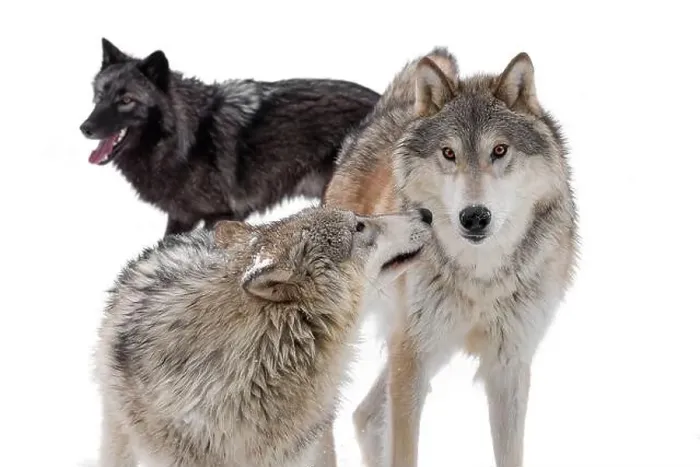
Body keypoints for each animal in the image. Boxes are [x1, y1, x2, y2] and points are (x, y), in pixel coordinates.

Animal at [80, 38, 380, 237]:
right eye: (100, 95)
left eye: (126, 100)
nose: (85, 128)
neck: (188, 138)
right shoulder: (181, 216)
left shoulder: (221, 215)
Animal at [323, 48, 579, 467]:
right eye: (448, 153)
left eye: (499, 150)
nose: (474, 216)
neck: (480, 274)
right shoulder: (413, 358)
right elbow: (404, 453)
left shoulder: (508, 364)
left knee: (365, 415)